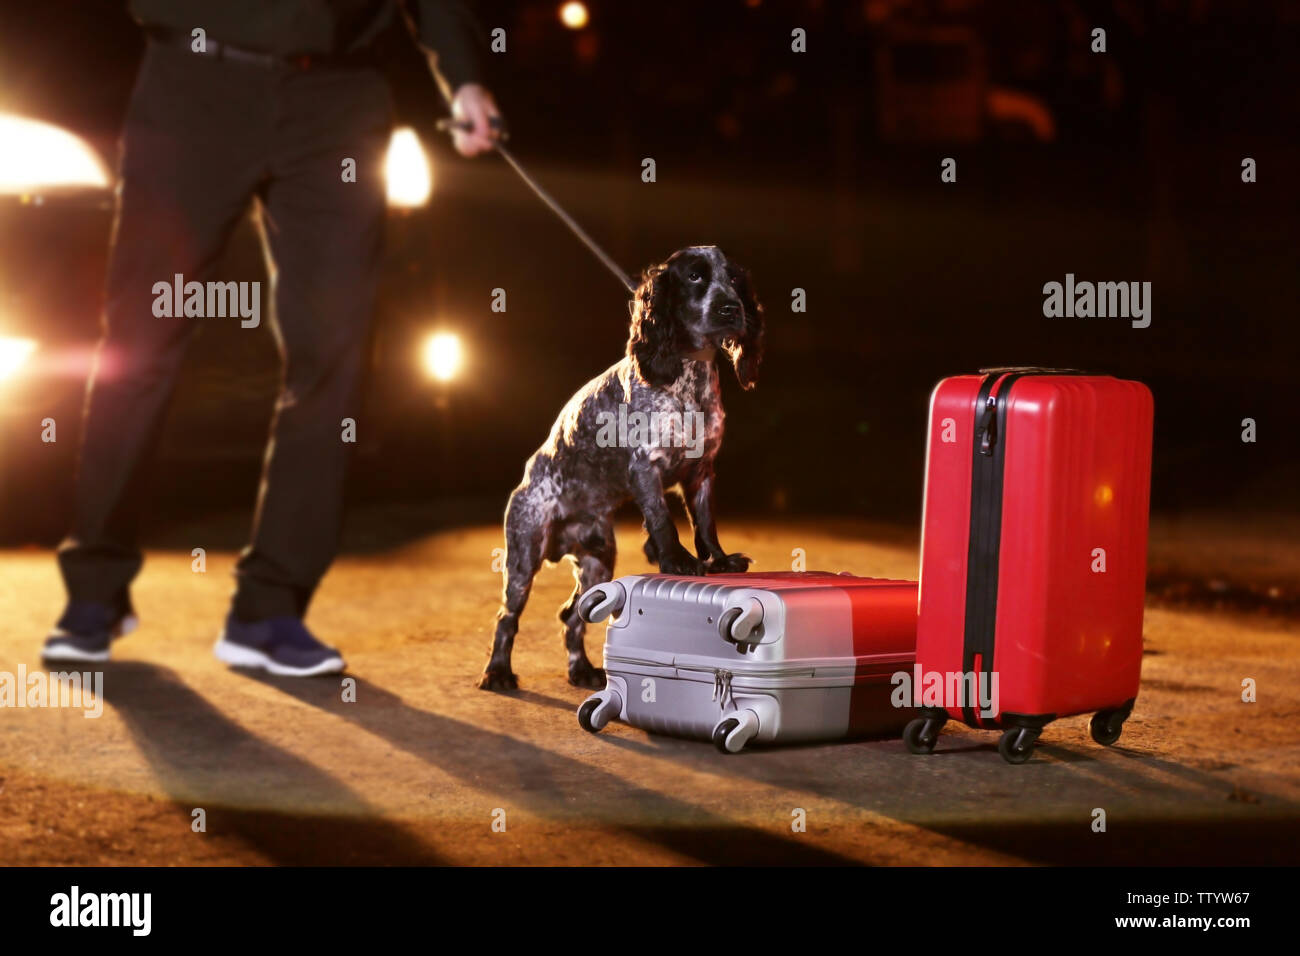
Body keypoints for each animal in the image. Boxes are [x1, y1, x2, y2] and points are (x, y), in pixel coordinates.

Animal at [480, 247, 759, 691]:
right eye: (695, 277)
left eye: (734, 279)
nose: (731, 308)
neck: (687, 377)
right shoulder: (646, 467)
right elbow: (663, 522)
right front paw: (677, 561)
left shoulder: (701, 471)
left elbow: (704, 524)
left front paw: (719, 561)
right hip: (524, 554)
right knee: (508, 617)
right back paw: (498, 672)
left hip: (598, 559)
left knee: (572, 617)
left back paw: (582, 670)